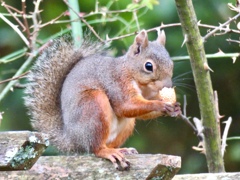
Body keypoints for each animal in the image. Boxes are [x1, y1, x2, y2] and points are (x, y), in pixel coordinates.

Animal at [25, 29, 181, 170]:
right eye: (149, 66)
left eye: (171, 64)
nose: (168, 86)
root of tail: (72, 139)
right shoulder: (117, 82)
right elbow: (125, 106)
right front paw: (160, 105)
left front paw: (175, 108)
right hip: (93, 106)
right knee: (96, 148)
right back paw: (107, 152)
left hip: (125, 125)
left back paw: (121, 150)